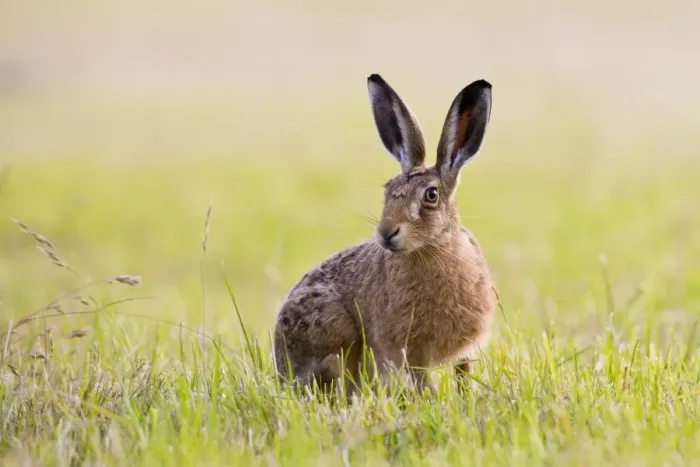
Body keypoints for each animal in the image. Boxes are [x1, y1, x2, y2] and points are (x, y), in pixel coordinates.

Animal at [273, 74, 496, 395]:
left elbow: (463, 375)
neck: (433, 248)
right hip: (336, 329)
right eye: (387, 191)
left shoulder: (466, 349)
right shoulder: (410, 351)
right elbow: (423, 381)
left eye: (431, 195)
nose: (386, 233)